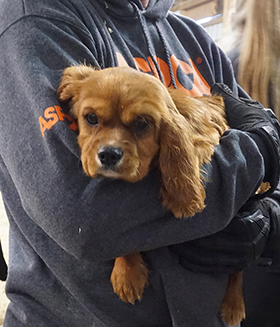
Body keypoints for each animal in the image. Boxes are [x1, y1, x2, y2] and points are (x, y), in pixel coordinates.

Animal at [58, 65, 245, 326]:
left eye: (141, 123)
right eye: (91, 118)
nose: (109, 154)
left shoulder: (204, 140)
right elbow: (121, 233)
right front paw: (128, 274)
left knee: (238, 267)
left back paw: (233, 305)